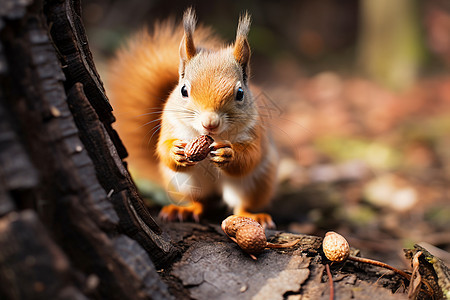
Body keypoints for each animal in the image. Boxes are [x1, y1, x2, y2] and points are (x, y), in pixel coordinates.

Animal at [108, 8, 278, 227]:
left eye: (240, 93)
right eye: (183, 90)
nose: (210, 123)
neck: (212, 137)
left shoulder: (254, 131)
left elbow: (251, 155)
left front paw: (228, 153)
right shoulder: (170, 124)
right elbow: (161, 148)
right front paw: (175, 152)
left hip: (256, 182)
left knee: (241, 204)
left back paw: (252, 216)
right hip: (183, 184)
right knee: (199, 201)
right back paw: (184, 210)